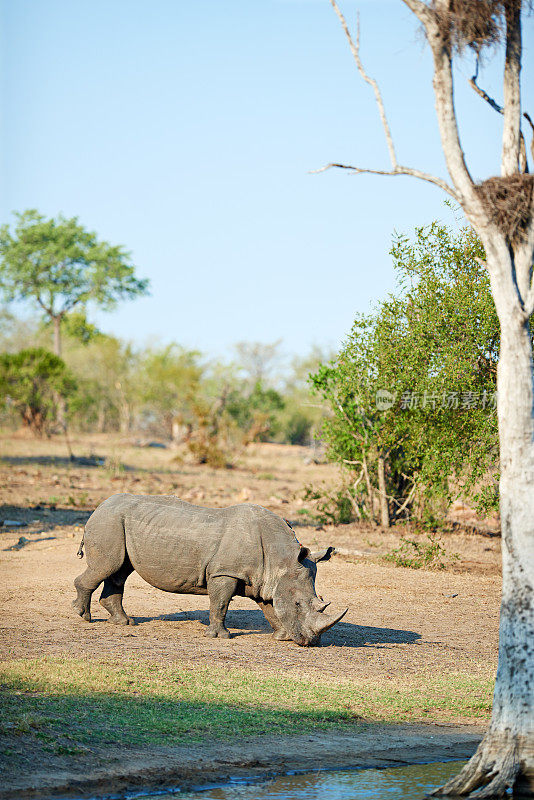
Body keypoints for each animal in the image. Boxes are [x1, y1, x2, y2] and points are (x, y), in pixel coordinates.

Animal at [73, 490, 350, 648]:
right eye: (298, 605)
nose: (311, 643)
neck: (282, 559)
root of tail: (99, 506)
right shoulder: (225, 572)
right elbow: (220, 603)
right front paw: (220, 637)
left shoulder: (266, 580)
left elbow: (270, 607)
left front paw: (281, 637)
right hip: (108, 522)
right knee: (108, 566)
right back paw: (84, 616)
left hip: (117, 523)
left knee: (119, 571)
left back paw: (124, 622)